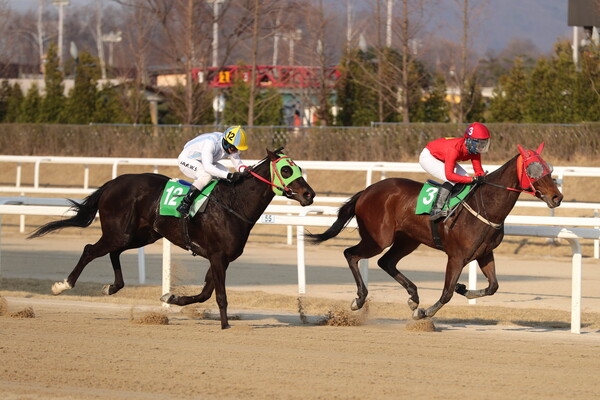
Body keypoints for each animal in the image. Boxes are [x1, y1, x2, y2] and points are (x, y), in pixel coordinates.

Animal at [30, 149, 316, 328]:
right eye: (287, 170)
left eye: (299, 167)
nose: (309, 194)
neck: (233, 204)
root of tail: (112, 183)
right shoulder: (217, 256)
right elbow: (219, 295)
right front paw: (225, 326)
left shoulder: (220, 258)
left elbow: (205, 293)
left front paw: (172, 298)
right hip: (119, 232)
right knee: (90, 249)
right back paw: (62, 285)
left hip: (142, 235)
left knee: (114, 252)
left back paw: (111, 287)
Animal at [308, 144, 564, 322]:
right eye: (533, 170)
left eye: (549, 168)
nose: (557, 197)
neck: (486, 206)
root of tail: (367, 190)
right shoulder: (457, 256)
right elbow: (447, 293)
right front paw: (424, 313)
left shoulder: (484, 254)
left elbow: (493, 287)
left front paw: (463, 289)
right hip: (378, 238)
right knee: (351, 254)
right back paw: (360, 299)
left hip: (407, 240)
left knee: (386, 262)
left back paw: (413, 297)